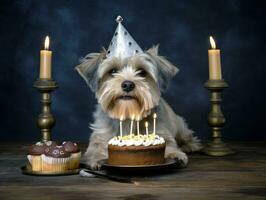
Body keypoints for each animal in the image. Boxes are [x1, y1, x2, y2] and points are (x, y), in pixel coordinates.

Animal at [76, 16, 201, 170]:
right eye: (113, 71)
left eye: (141, 72)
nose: (128, 84)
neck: (128, 115)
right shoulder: (100, 135)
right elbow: (96, 149)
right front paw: (97, 159)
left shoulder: (162, 131)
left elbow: (169, 145)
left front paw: (175, 155)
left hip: (179, 125)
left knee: (187, 136)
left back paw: (190, 145)